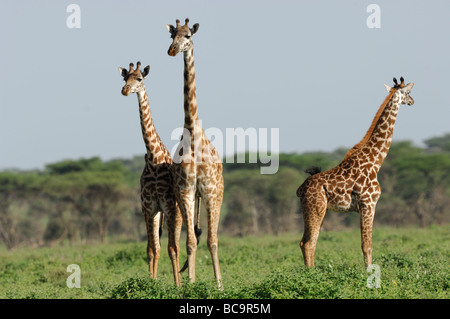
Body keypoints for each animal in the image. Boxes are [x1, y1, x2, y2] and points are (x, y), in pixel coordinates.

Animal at [119, 61, 185, 286]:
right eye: (125, 78)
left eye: (139, 79)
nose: (125, 90)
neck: (153, 157)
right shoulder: (148, 207)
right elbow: (151, 249)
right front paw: (151, 282)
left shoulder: (168, 206)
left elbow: (172, 248)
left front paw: (177, 286)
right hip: (158, 213)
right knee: (158, 247)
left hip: (178, 213)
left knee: (178, 245)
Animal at [296, 77, 414, 268]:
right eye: (408, 92)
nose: (412, 101)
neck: (375, 162)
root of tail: (301, 189)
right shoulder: (368, 204)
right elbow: (367, 245)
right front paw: (368, 273)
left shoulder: (365, 206)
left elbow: (366, 244)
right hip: (316, 208)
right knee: (309, 243)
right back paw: (311, 274)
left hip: (317, 210)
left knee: (305, 242)